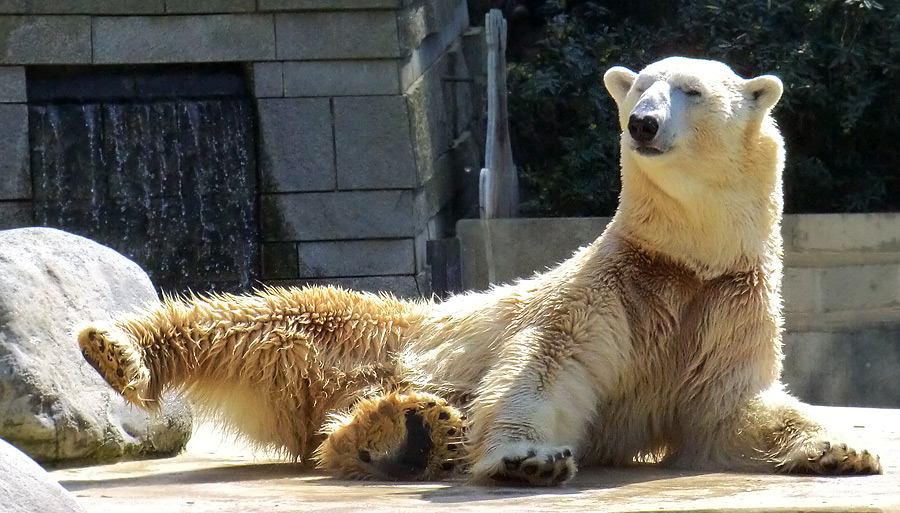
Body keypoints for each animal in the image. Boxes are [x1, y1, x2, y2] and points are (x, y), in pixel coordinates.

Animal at [77, 57, 880, 484]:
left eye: (692, 91)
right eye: (639, 85)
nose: (642, 123)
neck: (684, 259)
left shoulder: (724, 303)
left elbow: (730, 409)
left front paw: (841, 447)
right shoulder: (614, 288)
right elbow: (544, 369)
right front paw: (529, 458)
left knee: (329, 418)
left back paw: (406, 434)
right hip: (368, 329)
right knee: (264, 316)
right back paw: (116, 347)